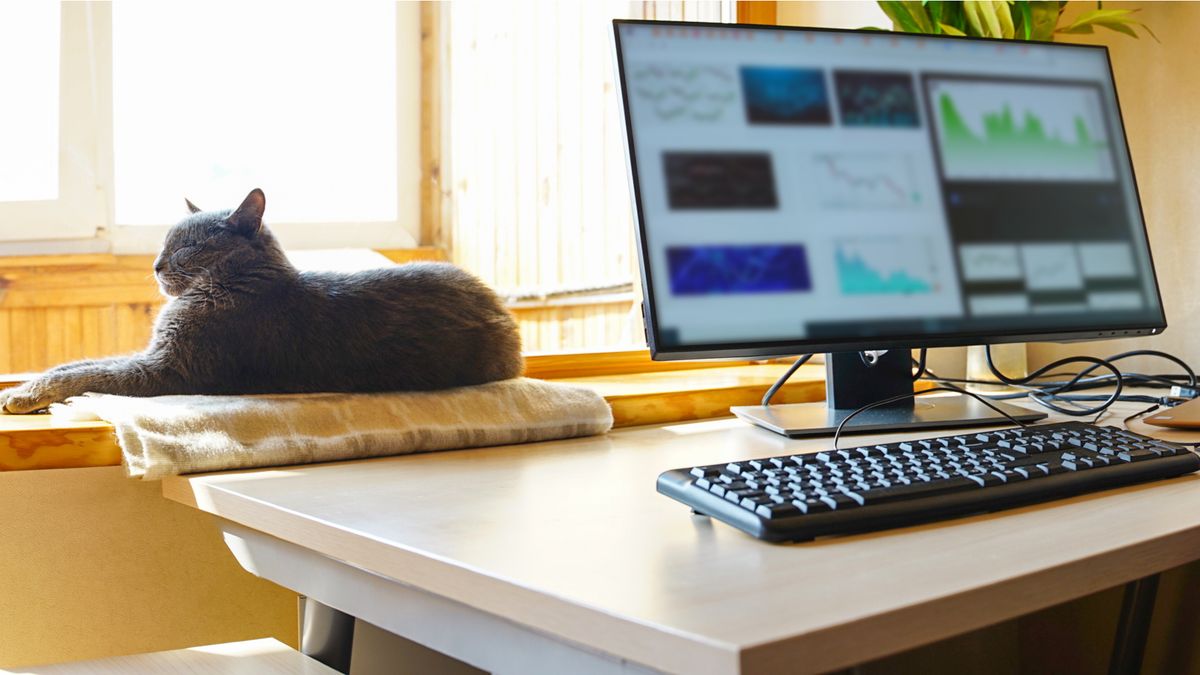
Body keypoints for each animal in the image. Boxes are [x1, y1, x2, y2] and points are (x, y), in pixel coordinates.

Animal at [1, 186, 525, 413]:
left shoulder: (168, 368)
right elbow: (74, 364)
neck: (231, 283)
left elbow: (85, 374)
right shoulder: (150, 354)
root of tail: (500, 308)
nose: (155, 265)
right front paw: (19, 387)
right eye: (164, 243)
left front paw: (22, 396)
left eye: (185, 247)